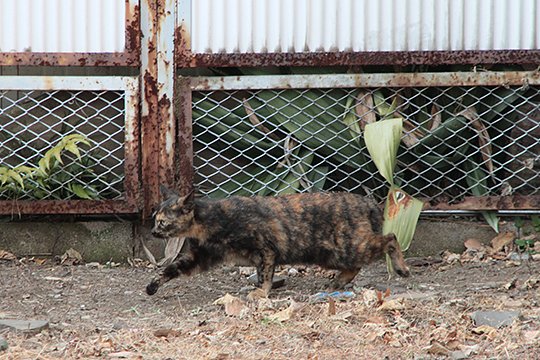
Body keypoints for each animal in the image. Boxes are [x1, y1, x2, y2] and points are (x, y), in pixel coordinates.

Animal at [147, 186, 410, 298]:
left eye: (162, 222)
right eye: (155, 220)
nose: (152, 232)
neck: (210, 221)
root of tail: (367, 202)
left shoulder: (266, 249)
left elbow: (265, 275)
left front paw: (260, 293)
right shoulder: (198, 257)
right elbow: (171, 268)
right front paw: (152, 286)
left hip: (348, 247)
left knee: (390, 238)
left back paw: (402, 268)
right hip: (334, 254)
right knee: (355, 266)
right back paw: (336, 283)